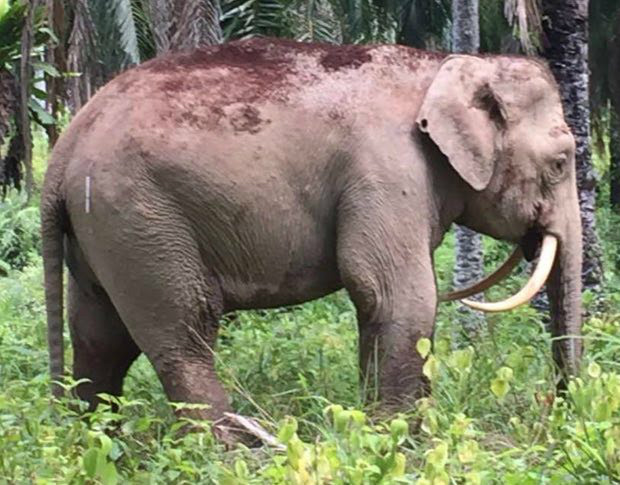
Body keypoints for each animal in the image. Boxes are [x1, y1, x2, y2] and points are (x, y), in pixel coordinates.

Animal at [41, 36, 584, 432]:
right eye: (561, 161)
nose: (558, 412)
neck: (448, 66)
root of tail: (65, 147)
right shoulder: (387, 169)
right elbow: (394, 294)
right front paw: (397, 438)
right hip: (140, 215)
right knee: (184, 330)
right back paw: (235, 448)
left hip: (101, 228)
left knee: (100, 335)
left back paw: (97, 443)